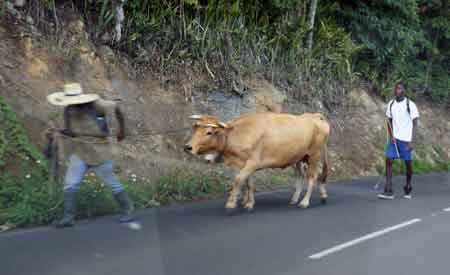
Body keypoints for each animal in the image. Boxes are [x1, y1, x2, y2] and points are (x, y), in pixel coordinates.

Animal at [184, 112, 330, 211]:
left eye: (209, 132)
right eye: (195, 129)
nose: (187, 147)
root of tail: (314, 116)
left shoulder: (252, 163)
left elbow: (238, 179)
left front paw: (231, 203)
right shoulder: (244, 164)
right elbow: (249, 183)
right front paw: (249, 203)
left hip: (314, 155)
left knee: (313, 176)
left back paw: (305, 202)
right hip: (298, 158)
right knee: (301, 176)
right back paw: (301, 198)